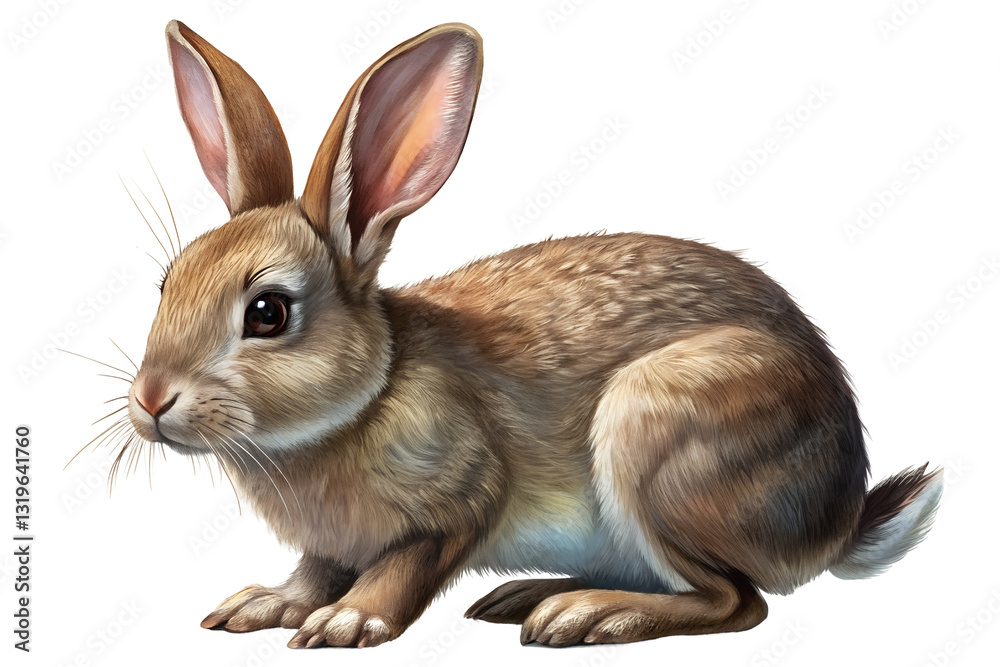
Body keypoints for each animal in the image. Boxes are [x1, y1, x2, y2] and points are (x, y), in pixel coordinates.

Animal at [122, 19, 944, 648]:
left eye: (268, 312)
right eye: (167, 284)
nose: (151, 400)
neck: (368, 392)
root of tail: (835, 521)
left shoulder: (456, 503)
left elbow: (404, 567)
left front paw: (347, 623)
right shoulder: (330, 543)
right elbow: (315, 569)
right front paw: (266, 603)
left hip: (664, 434)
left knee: (738, 601)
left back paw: (584, 615)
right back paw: (530, 596)